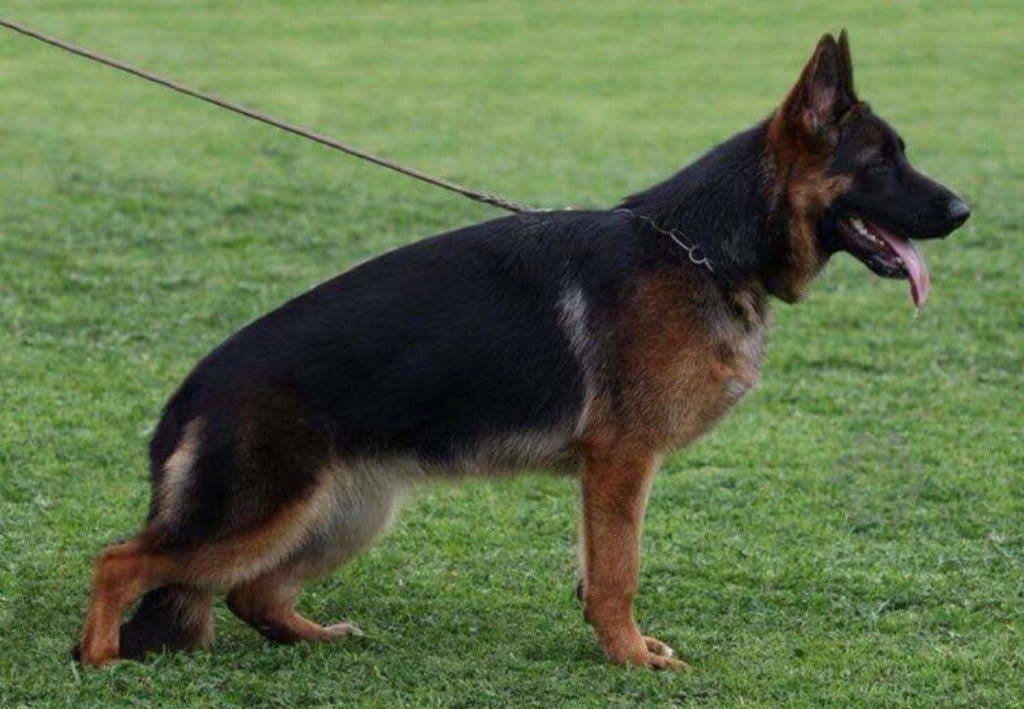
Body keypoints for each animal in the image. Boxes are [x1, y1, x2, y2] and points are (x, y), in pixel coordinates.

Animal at [76, 30, 970, 669]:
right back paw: (102, 658)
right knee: (119, 561)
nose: (965, 210)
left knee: (248, 594)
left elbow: (597, 568)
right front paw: (630, 656)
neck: (703, 249)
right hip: (264, 512)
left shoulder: (606, 475)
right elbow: (618, 571)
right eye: (882, 161)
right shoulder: (622, 462)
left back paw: (315, 637)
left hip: (347, 512)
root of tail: (190, 395)